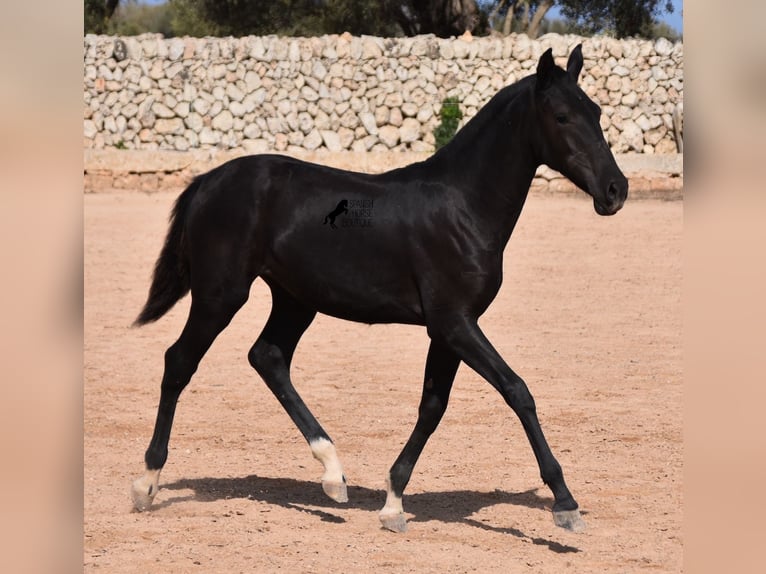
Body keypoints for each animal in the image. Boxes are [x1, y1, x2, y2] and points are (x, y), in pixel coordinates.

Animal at [132, 46, 632, 536]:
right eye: (563, 116)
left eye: (597, 111)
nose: (616, 190)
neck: (463, 206)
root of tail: (207, 182)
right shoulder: (454, 323)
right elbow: (517, 390)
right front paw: (565, 504)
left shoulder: (447, 329)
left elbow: (432, 407)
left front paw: (393, 503)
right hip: (222, 295)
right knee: (179, 362)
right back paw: (147, 482)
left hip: (295, 300)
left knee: (267, 357)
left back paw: (333, 475)